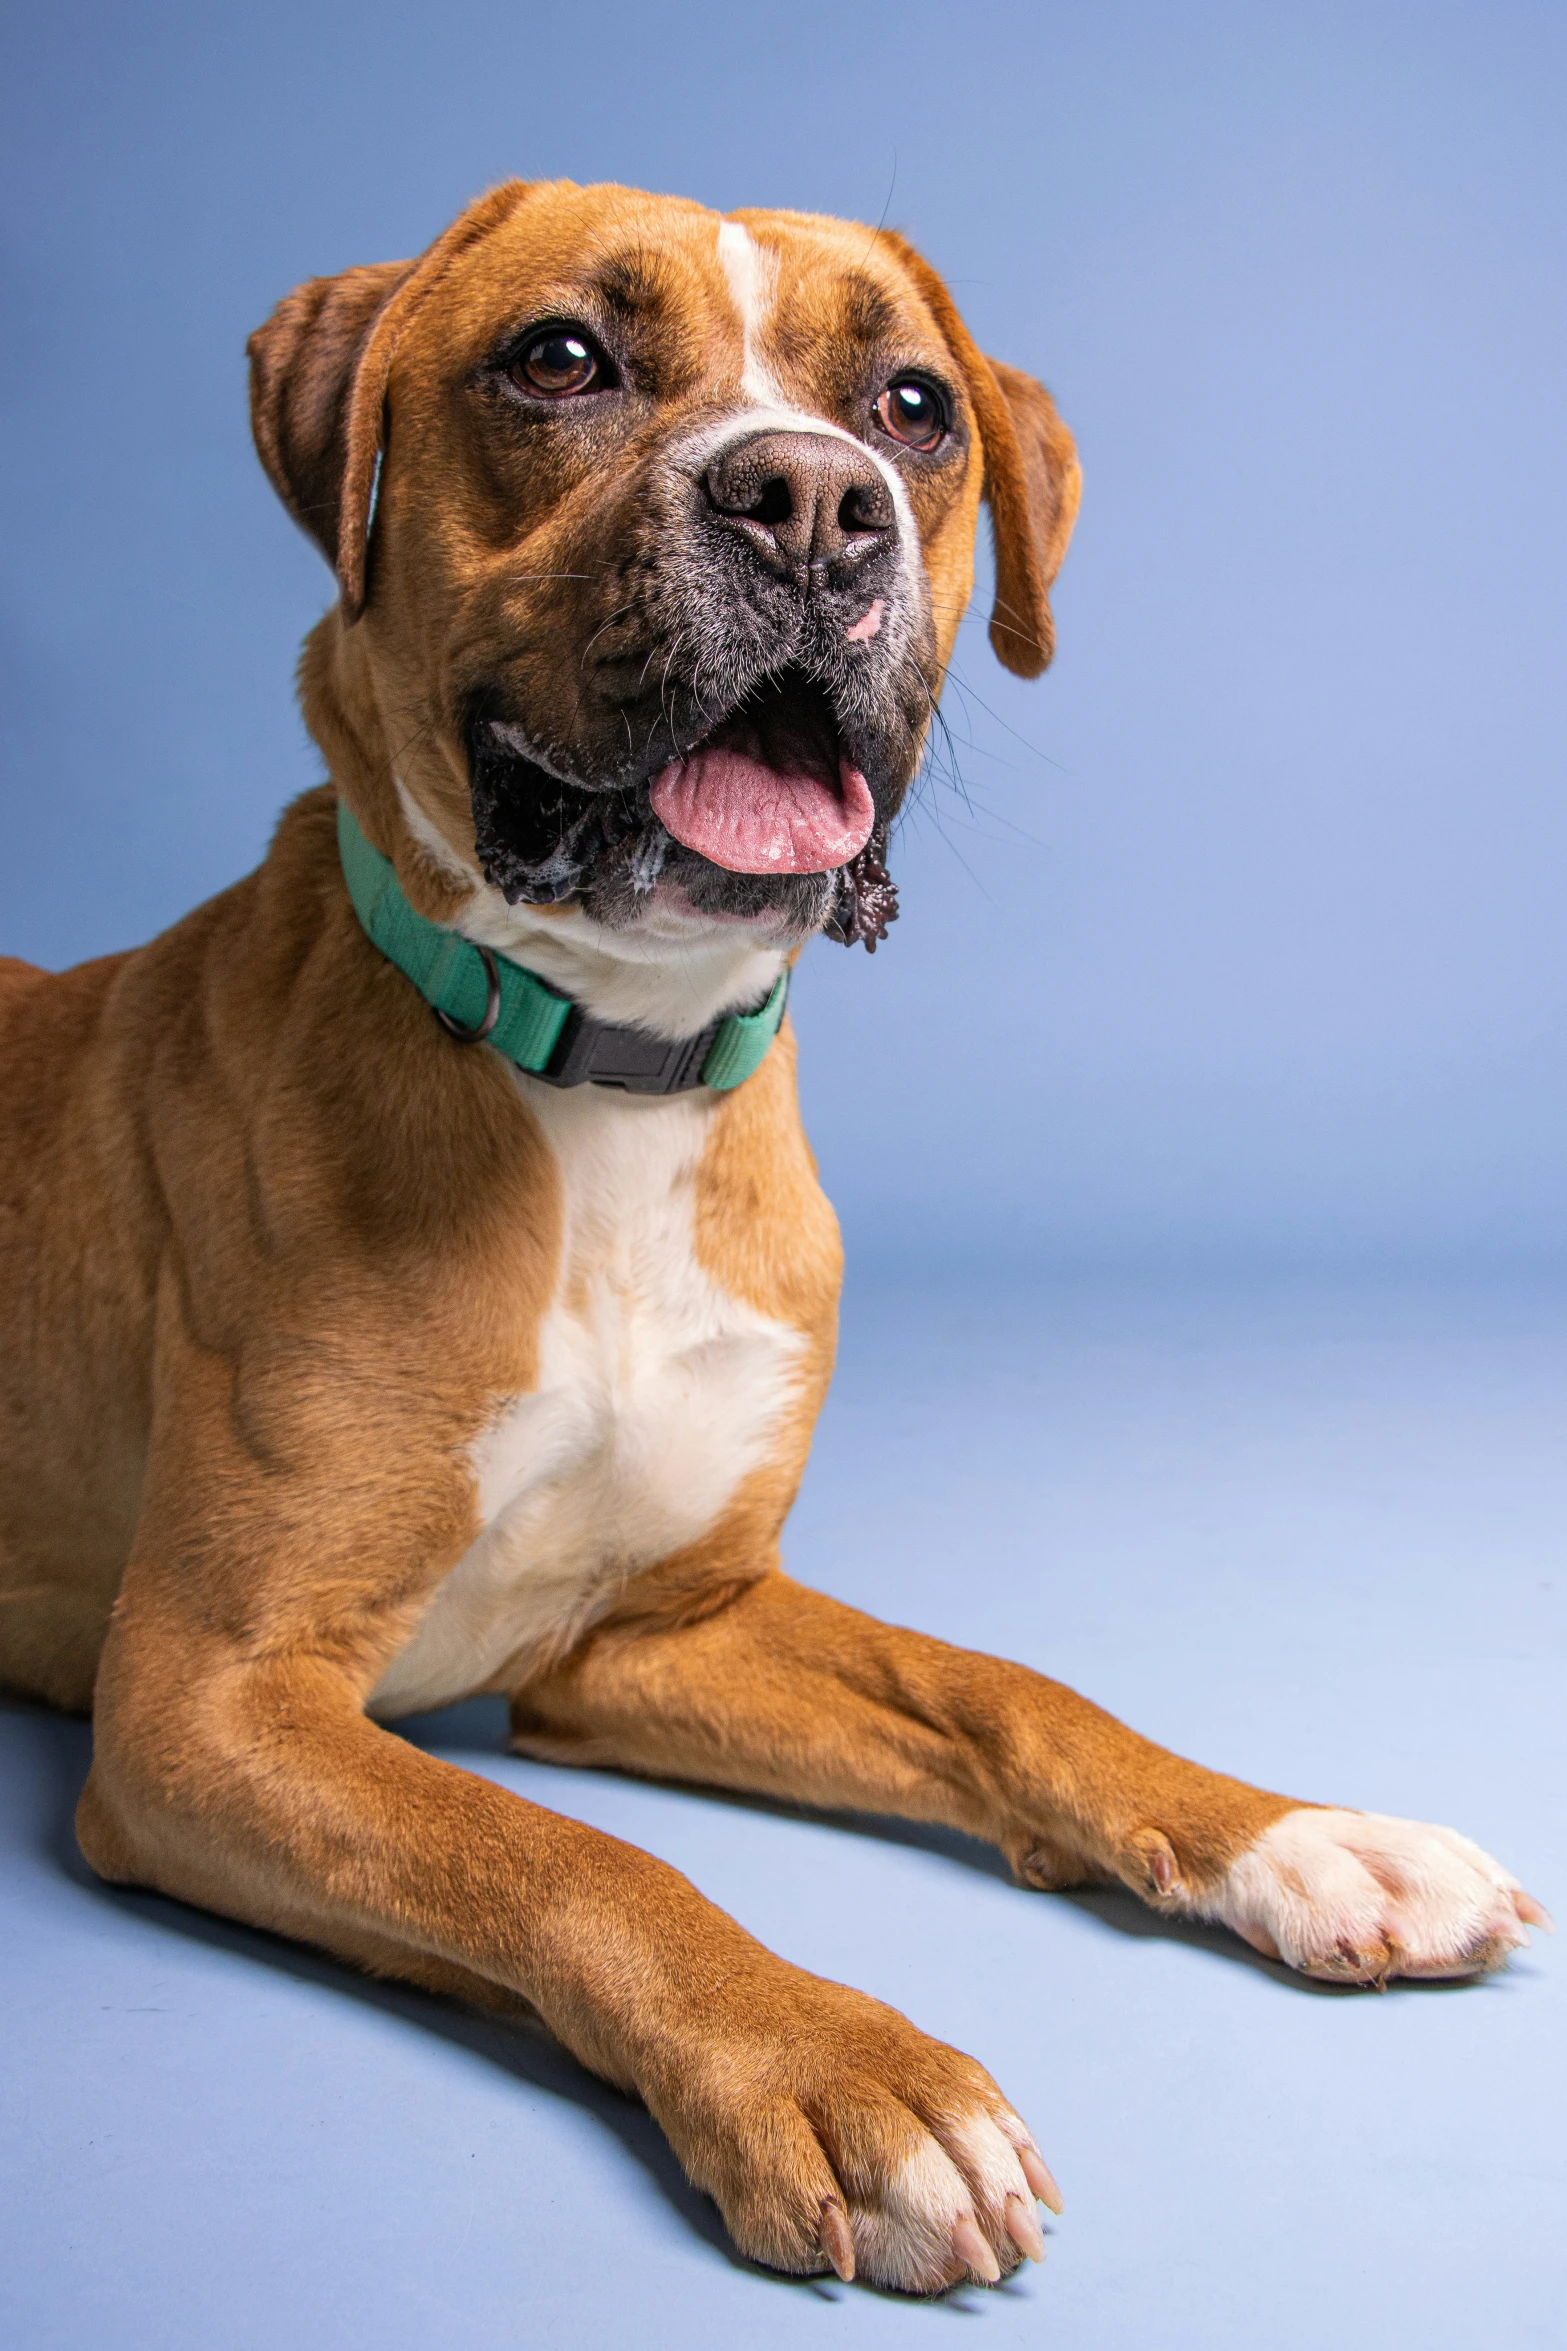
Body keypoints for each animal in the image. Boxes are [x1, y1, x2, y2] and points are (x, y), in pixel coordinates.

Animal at [0, 178, 1541, 2294]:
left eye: (909, 405)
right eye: (558, 357)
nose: (810, 502)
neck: (605, 1077)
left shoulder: (654, 1637)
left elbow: (1009, 1690)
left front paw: (1289, 1832)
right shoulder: (208, 1706)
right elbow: (568, 1853)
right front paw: (835, 2067)